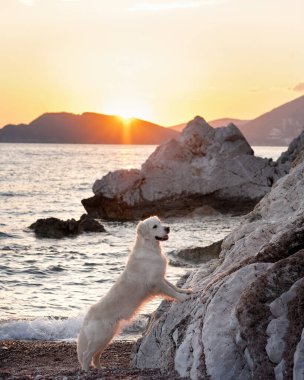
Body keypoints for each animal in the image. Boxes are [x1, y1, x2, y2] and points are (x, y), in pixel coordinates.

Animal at [78, 217, 192, 372]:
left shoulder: (161, 277)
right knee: (86, 355)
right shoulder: (156, 282)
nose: (167, 228)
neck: (150, 248)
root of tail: (87, 315)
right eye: (155, 226)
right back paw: (86, 370)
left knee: (96, 355)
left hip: (108, 336)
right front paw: (182, 297)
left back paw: (101, 368)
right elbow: (171, 291)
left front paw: (185, 291)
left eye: (161, 222)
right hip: (101, 336)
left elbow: (173, 286)